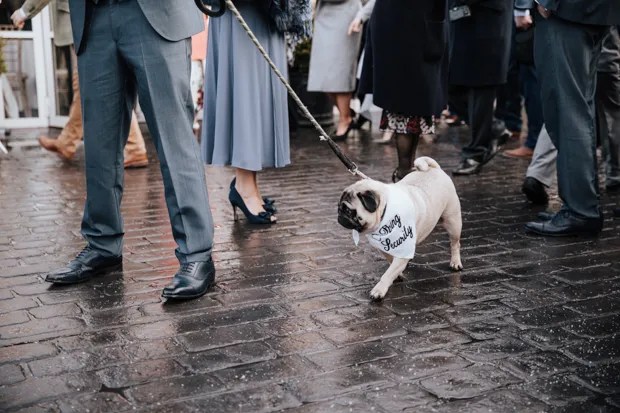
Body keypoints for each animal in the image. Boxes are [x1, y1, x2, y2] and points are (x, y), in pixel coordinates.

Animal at [336, 156, 462, 298]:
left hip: (453, 221)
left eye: (348, 211)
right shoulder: (384, 248)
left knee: (455, 244)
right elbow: (391, 262)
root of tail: (435, 168)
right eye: (339, 208)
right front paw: (398, 274)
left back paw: (456, 262)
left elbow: (388, 273)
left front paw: (379, 290)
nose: (339, 215)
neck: (385, 212)